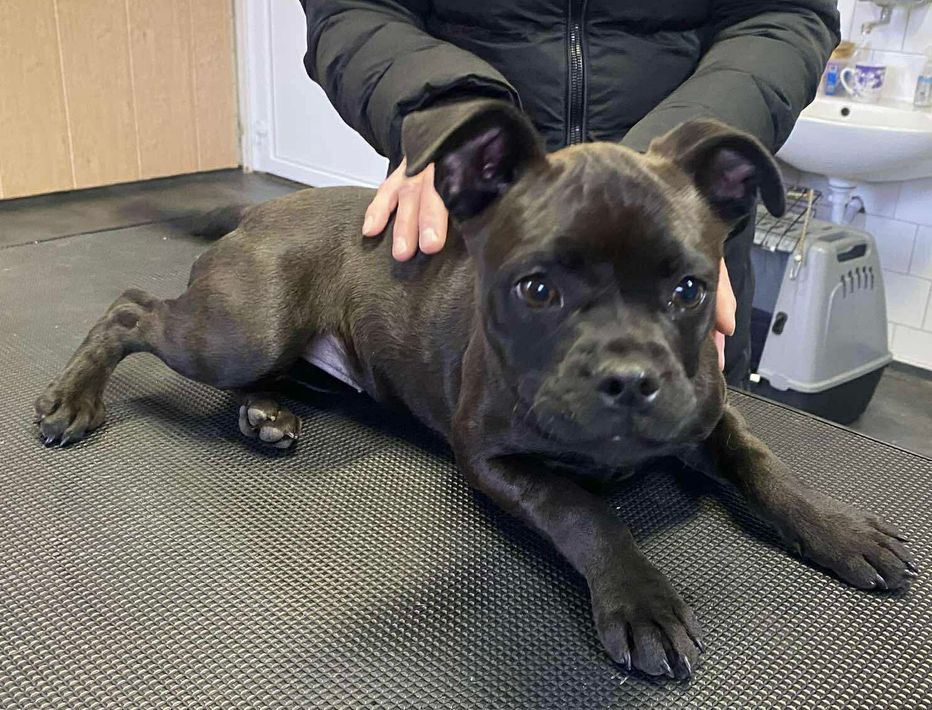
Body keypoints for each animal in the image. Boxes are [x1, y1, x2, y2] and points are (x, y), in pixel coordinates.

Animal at [34, 99, 916, 679]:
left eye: (690, 290)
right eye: (537, 289)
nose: (630, 380)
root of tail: (261, 213)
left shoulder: (705, 415)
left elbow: (766, 467)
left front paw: (841, 531)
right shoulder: (493, 456)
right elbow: (583, 507)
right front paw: (640, 600)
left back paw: (265, 414)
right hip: (239, 329)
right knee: (129, 310)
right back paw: (75, 401)